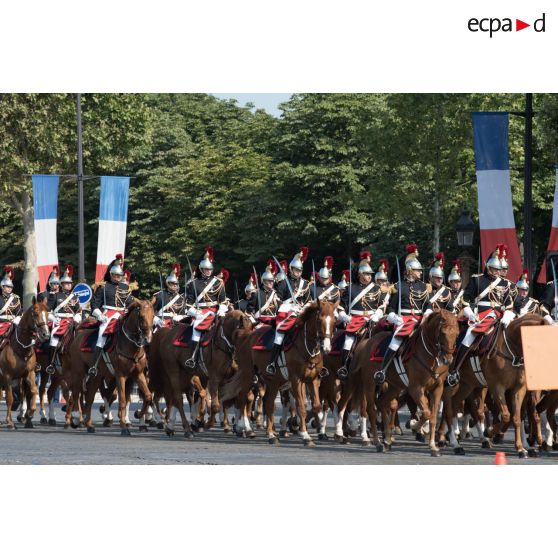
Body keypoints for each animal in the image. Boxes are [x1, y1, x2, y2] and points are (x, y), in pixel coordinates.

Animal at [0, 300, 49, 430]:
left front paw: (29, 415)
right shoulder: (7, 376)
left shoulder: (29, 374)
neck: (20, 346)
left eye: (47, 313)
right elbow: (10, 398)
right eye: (35, 314)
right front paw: (9, 422)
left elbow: (33, 390)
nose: (45, 334)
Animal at [63, 302, 155, 438]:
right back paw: (74, 418)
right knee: (75, 394)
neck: (129, 344)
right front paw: (123, 426)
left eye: (153, 315)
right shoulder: (120, 376)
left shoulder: (137, 374)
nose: (148, 339)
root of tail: (78, 334)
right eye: (141, 316)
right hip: (78, 373)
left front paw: (139, 414)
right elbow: (122, 400)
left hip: (96, 376)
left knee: (89, 397)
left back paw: (89, 424)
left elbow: (148, 396)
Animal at [374, 310, 462, 460]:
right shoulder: (415, 388)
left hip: (395, 386)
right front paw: (414, 426)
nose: (448, 360)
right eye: (443, 332)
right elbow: (426, 413)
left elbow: (433, 416)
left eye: (457, 333)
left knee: (383, 403)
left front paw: (433, 446)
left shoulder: (438, 388)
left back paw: (387, 439)